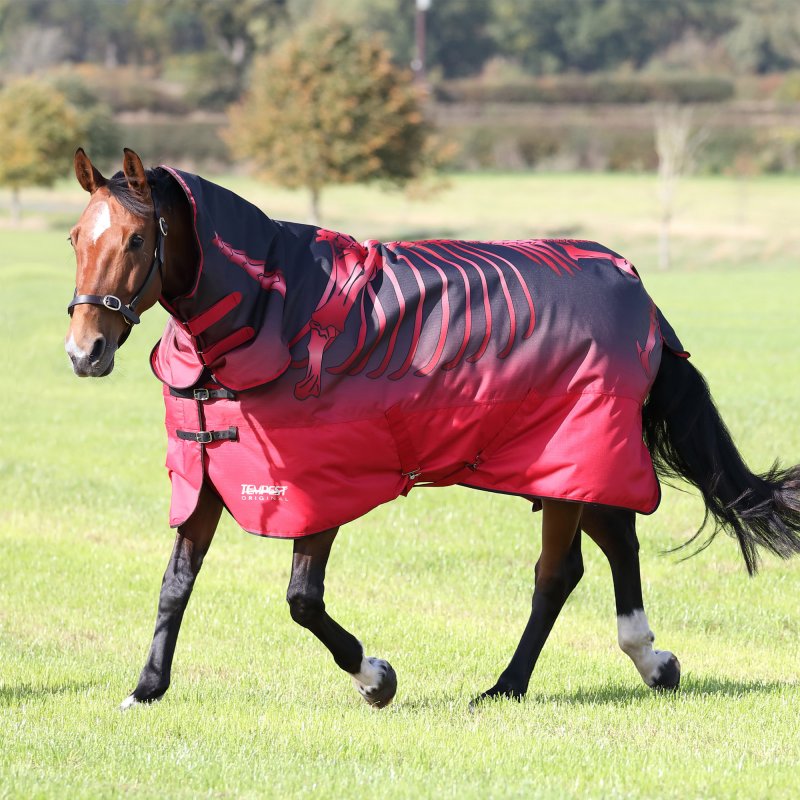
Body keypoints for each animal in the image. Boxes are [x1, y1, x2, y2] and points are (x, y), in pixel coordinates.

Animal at [65, 148, 800, 708]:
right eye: (76, 239)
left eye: (137, 239)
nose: (84, 351)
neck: (274, 314)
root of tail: (636, 288)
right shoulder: (209, 475)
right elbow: (175, 585)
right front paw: (147, 687)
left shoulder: (317, 488)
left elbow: (303, 600)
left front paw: (376, 679)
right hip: (565, 463)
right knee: (615, 539)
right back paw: (651, 660)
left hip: (573, 451)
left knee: (556, 574)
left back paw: (509, 684)